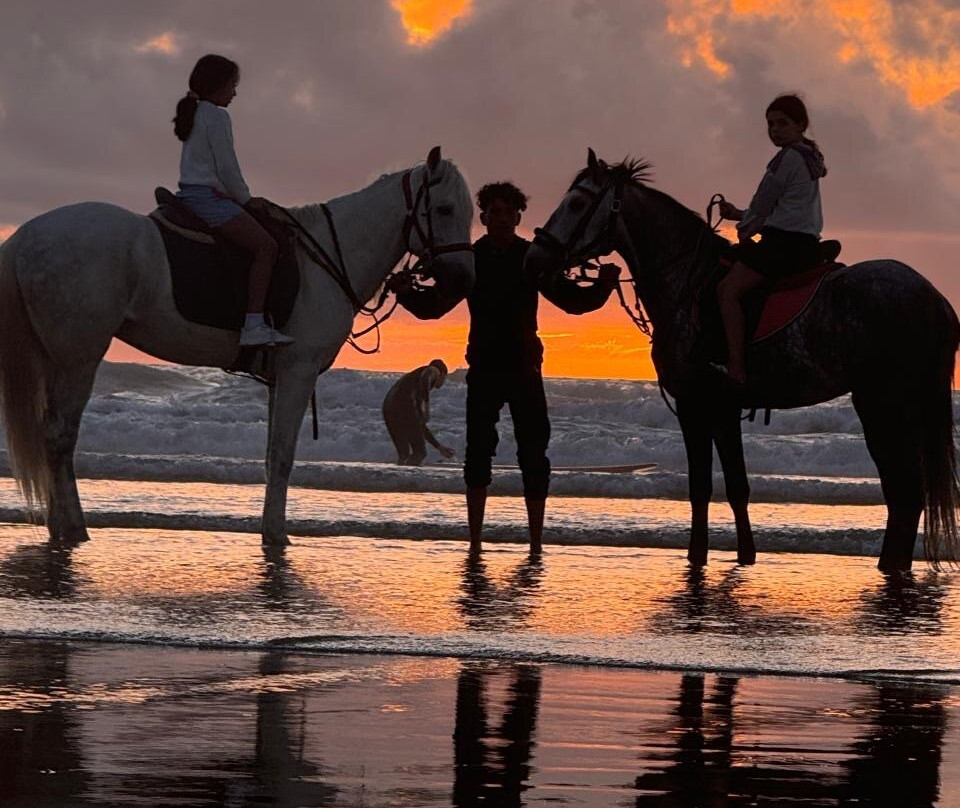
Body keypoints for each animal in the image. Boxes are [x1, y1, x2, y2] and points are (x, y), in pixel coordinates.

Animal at [0, 148, 474, 548]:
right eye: (445, 209)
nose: (460, 281)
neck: (325, 260)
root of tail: (25, 235)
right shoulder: (298, 371)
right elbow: (283, 457)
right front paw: (278, 537)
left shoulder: (279, 380)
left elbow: (270, 457)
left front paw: (270, 531)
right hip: (79, 358)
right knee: (60, 437)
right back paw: (74, 529)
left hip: (55, 357)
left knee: (50, 436)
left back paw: (62, 527)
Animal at [524, 150, 960, 568]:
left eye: (577, 203)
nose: (536, 258)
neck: (688, 282)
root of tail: (935, 299)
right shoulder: (724, 409)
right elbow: (736, 485)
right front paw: (745, 556)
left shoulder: (696, 405)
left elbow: (701, 486)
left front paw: (697, 554)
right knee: (904, 492)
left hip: (882, 406)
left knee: (904, 489)